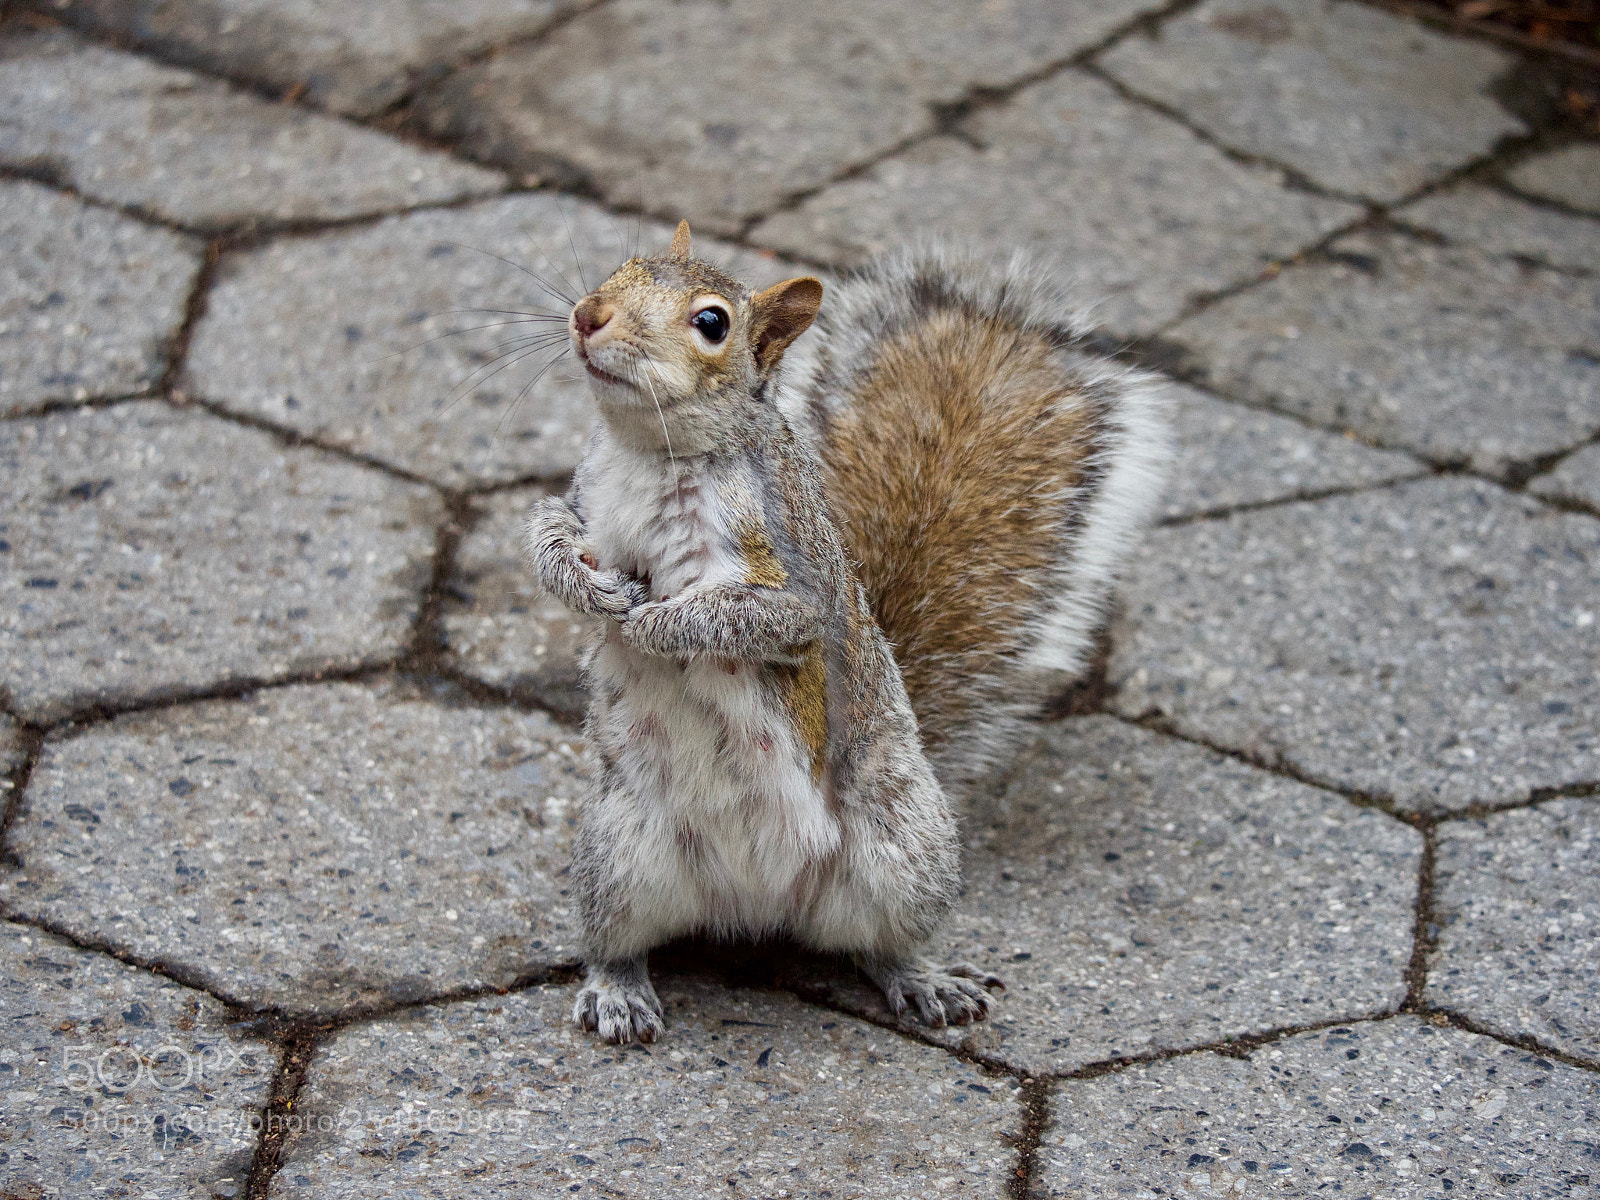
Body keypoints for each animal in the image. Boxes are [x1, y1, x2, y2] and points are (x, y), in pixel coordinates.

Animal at [524, 221, 1171, 1044]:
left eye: (712, 323)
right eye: (623, 267)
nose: (588, 314)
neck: (650, 450)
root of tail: (756, 911)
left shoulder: (797, 572)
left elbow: (760, 615)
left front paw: (658, 622)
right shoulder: (586, 499)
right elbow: (547, 530)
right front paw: (584, 584)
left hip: (901, 848)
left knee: (881, 945)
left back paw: (925, 980)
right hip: (619, 851)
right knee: (618, 941)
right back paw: (618, 990)